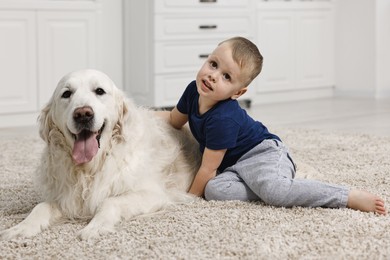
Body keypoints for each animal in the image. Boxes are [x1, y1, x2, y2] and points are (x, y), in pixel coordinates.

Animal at [0, 68, 201, 240]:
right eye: (66, 94)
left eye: (99, 91)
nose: (83, 114)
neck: (91, 167)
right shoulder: (65, 197)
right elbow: (41, 207)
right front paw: (21, 227)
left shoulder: (153, 193)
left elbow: (110, 202)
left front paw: (95, 227)